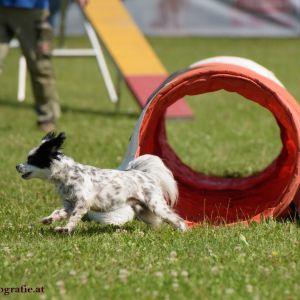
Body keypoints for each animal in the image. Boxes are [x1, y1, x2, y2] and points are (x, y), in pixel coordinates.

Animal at [16, 132, 186, 233]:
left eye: (32, 159)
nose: (17, 166)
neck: (67, 175)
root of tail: (146, 174)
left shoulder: (82, 203)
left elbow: (73, 218)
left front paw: (66, 229)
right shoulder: (70, 204)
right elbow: (58, 212)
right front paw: (49, 220)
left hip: (156, 206)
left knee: (176, 218)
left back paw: (182, 230)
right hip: (142, 209)